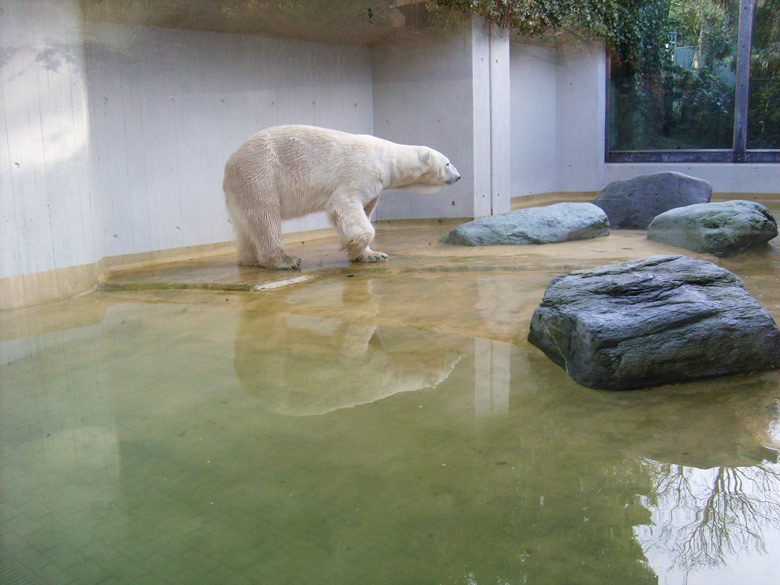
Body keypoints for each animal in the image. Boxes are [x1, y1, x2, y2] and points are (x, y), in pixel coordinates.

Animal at [222, 125, 460, 270]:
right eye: (447, 163)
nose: (458, 176)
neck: (386, 159)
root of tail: (231, 162)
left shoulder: (376, 186)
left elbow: (365, 210)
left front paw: (372, 255)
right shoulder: (360, 172)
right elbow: (346, 205)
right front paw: (354, 246)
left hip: (243, 188)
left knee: (246, 225)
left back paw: (250, 259)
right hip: (262, 175)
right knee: (266, 217)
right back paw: (285, 260)